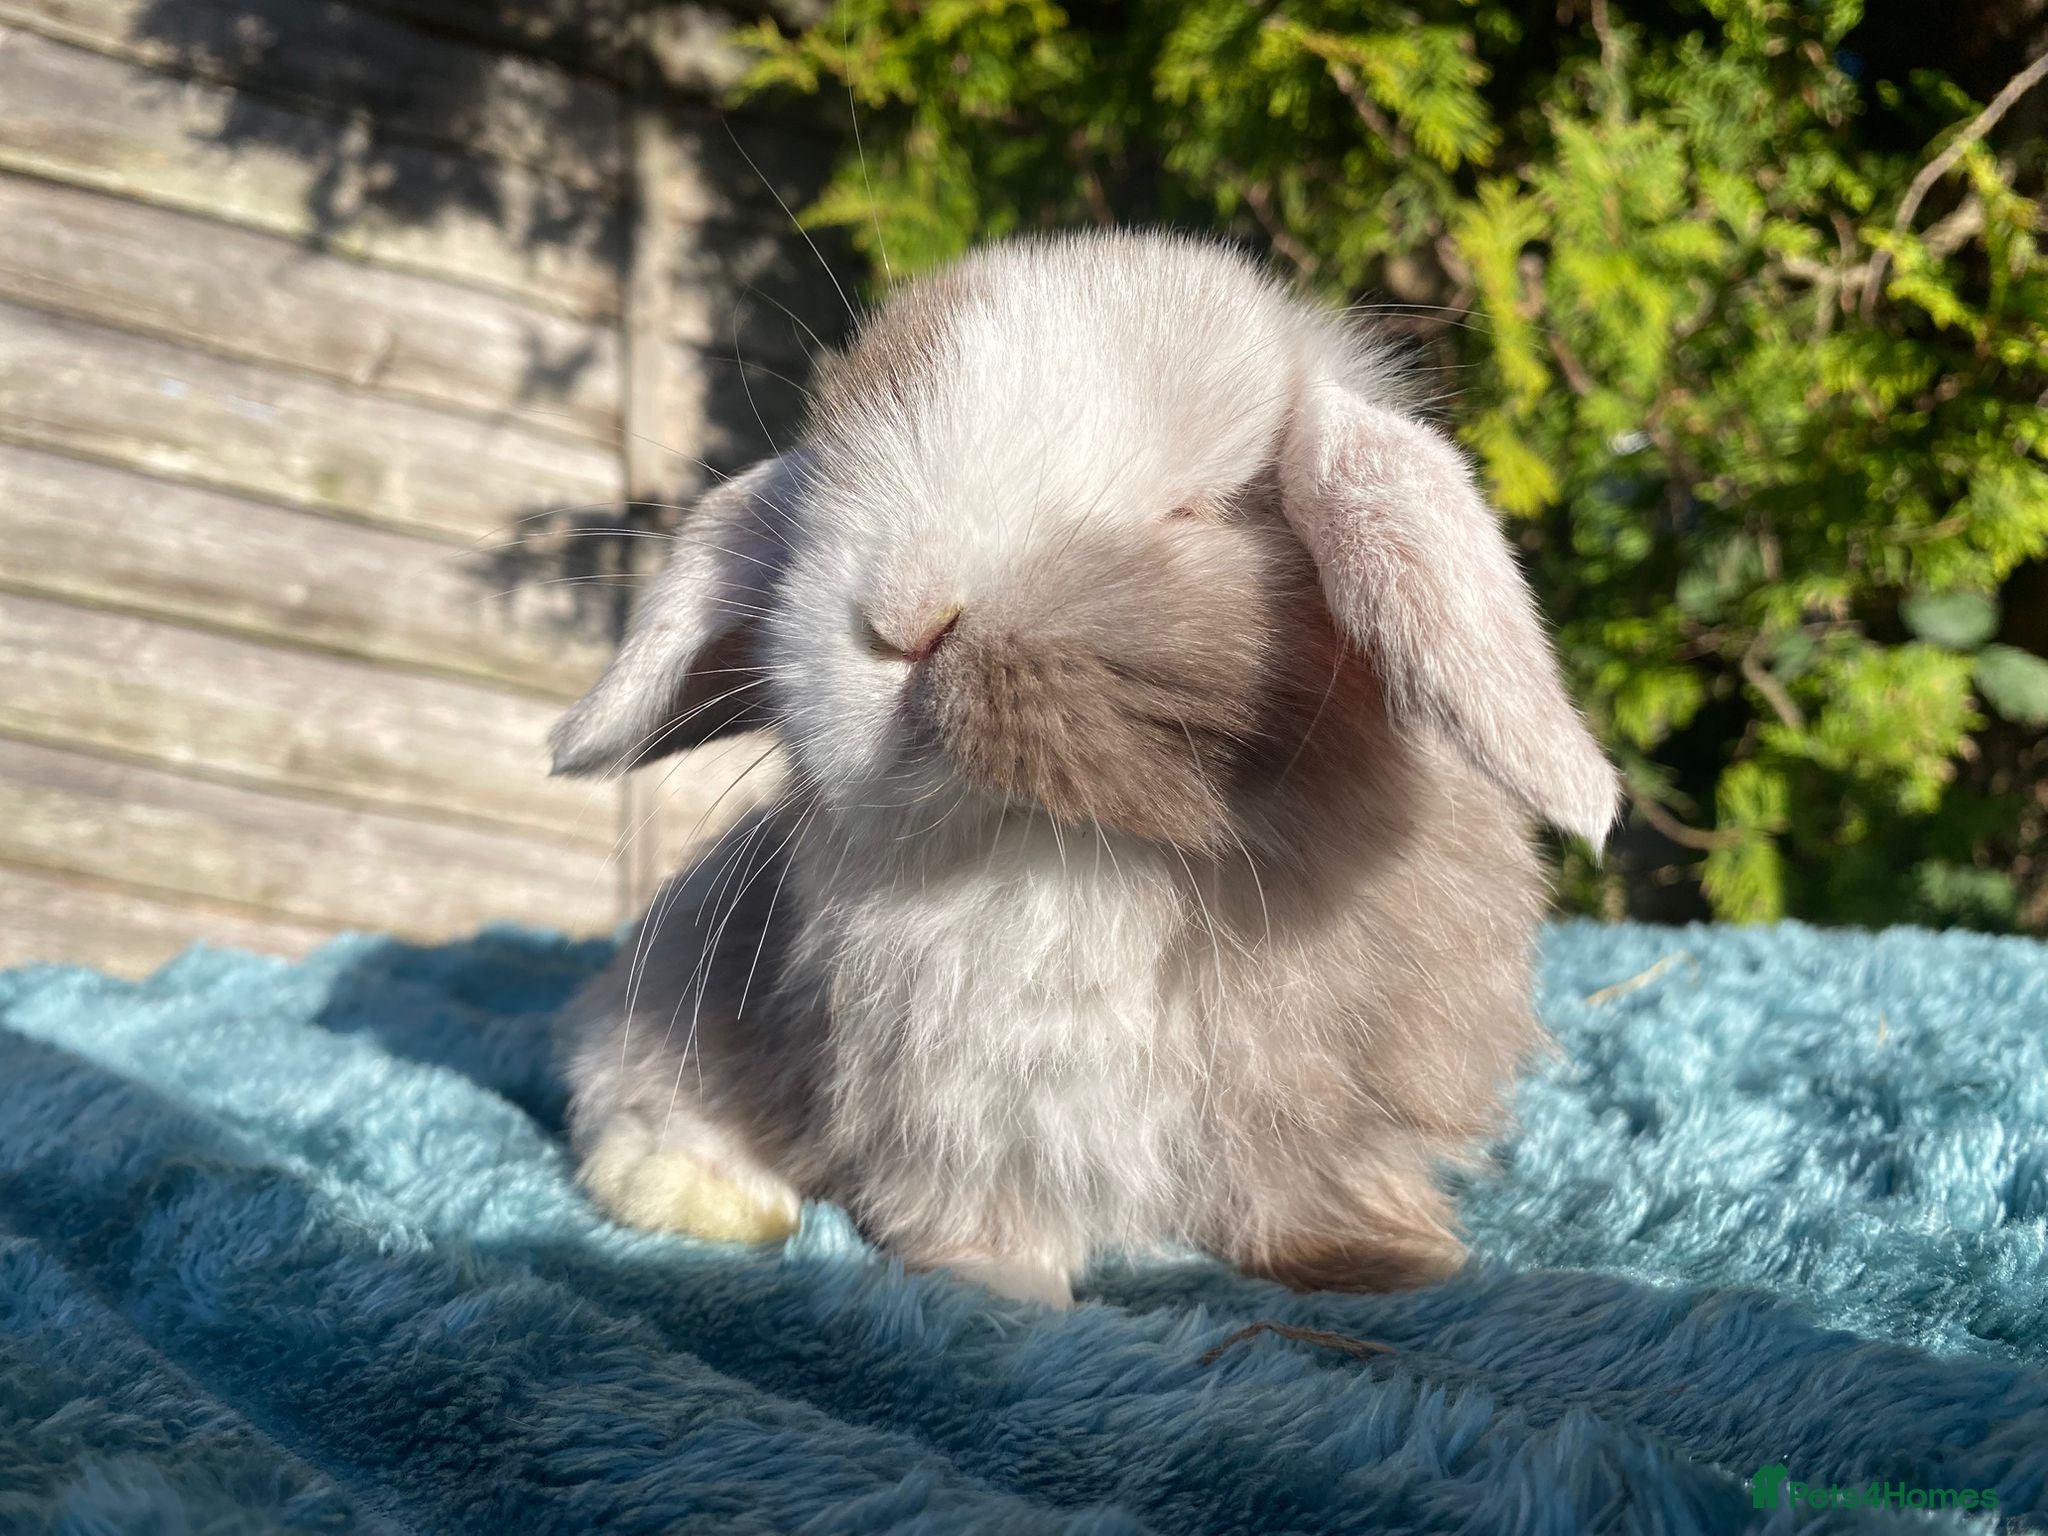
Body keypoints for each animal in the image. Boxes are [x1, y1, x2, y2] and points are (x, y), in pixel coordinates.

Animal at [549, 231, 1619, 1307]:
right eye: (821, 507)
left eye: (1197, 511)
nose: (903, 616)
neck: (1070, 848)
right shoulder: (955, 1127)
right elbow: (979, 1215)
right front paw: (991, 1291)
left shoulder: (1330, 1112)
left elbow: (1310, 1194)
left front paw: (1379, 1263)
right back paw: (722, 1200)